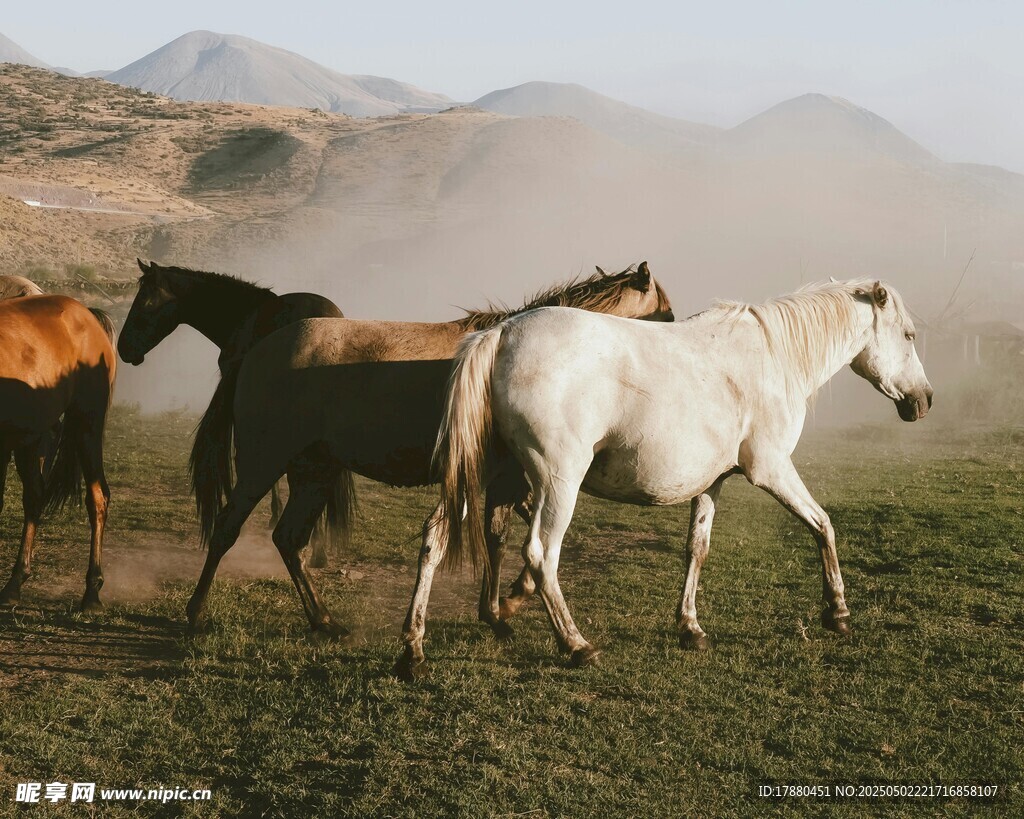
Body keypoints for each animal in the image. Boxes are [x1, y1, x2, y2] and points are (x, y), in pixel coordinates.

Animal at [0, 295, 117, 612]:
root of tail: (86, 313)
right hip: (30, 438)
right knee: (34, 496)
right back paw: (15, 583)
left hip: (86, 424)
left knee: (97, 497)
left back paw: (92, 593)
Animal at [185, 263, 674, 647]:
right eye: (666, 316)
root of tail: (257, 353)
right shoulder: (512, 479)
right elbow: (510, 537)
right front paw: (509, 602)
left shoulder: (502, 479)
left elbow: (497, 537)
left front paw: (497, 611)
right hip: (263, 464)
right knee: (228, 529)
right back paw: (196, 613)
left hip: (314, 474)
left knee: (289, 539)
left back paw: (324, 621)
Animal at [414, 279, 933, 674]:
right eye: (908, 335)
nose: (924, 400)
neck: (772, 357)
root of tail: (501, 334)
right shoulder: (771, 469)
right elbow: (823, 525)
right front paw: (838, 612)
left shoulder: (713, 482)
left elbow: (696, 550)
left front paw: (691, 628)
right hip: (557, 481)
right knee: (542, 555)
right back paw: (576, 645)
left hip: (480, 471)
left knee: (436, 537)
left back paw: (412, 648)